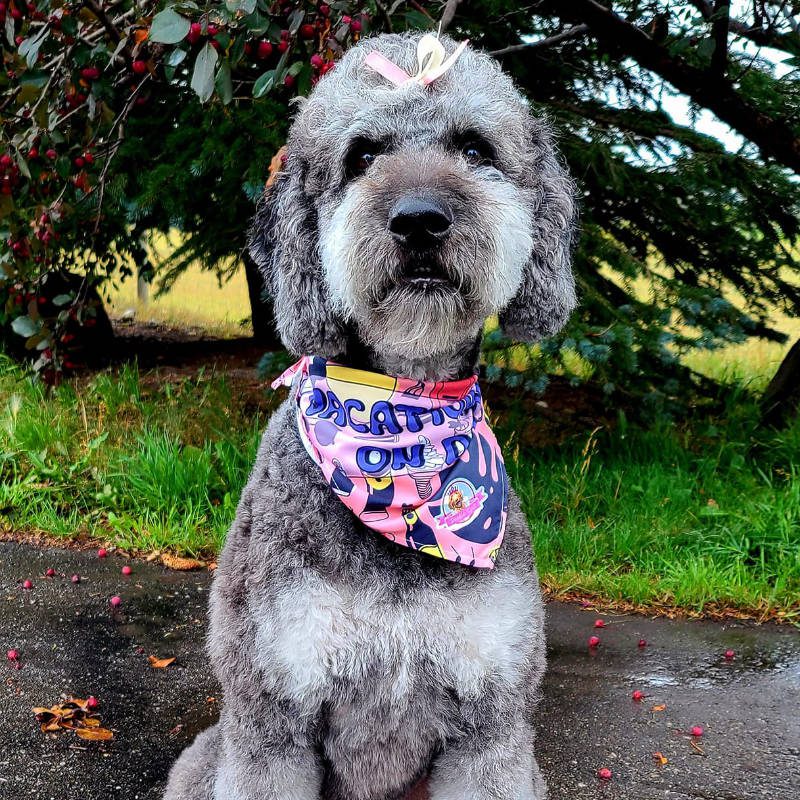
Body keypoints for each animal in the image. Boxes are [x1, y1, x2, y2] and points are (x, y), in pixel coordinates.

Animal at [162, 29, 576, 800]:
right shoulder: (271, 722)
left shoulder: (491, 732)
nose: (419, 219)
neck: (397, 425)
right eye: (360, 156)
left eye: (474, 147)